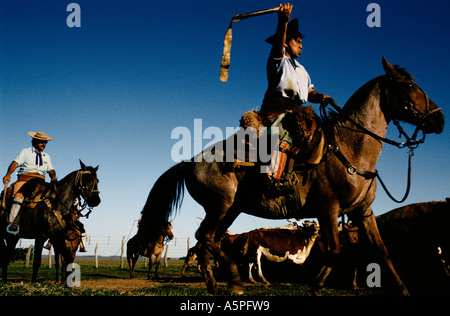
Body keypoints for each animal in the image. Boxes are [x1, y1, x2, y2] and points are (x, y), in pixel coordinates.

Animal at [136, 57, 442, 296]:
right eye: (409, 86)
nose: (439, 120)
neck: (349, 148)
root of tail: (190, 162)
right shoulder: (328, 210)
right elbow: (334, 250)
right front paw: (316, 287)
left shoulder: (363, 212)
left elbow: (382, 251)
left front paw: (404, 290)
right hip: (219, 206)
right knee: (205, 238)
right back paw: (232, 279)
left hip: (230, 210)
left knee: (207, 240)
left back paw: (217, 284)